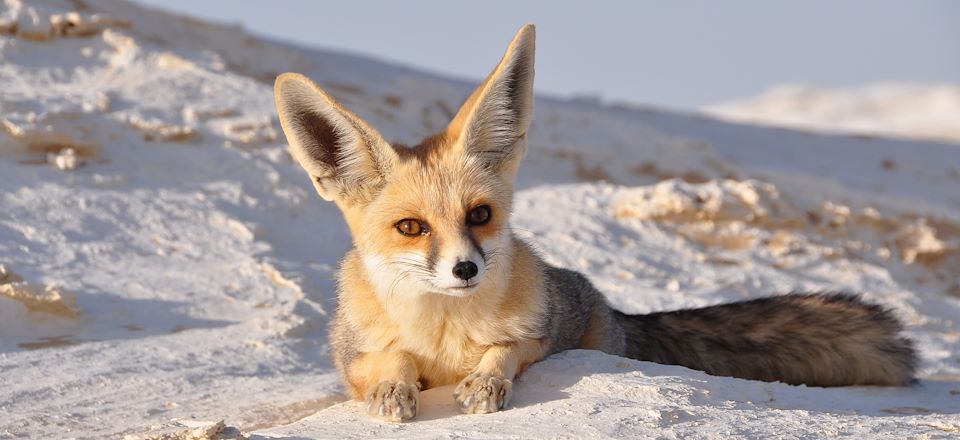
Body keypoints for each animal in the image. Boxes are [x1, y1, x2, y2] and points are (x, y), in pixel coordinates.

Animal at [274, 24, 920, 422]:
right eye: (411, 228)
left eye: (479, 216)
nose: (465, 270)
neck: (443, 331)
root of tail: (614, 309)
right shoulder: (351, 357)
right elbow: (388, 363)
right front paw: (394, 388)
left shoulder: (542, 332)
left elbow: (505, 351)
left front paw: (486, 381)